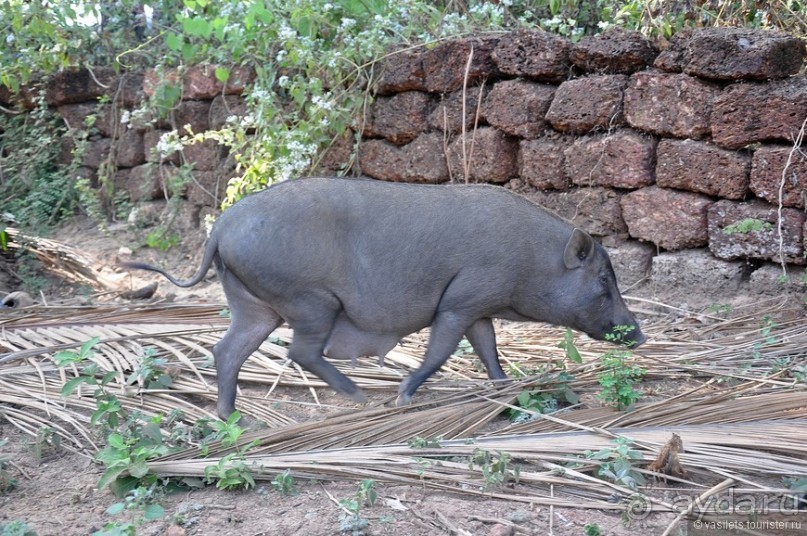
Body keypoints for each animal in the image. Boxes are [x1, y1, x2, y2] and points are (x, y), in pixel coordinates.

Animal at [123, 177, 648, 418]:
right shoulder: (460, 300)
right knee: (299, 351)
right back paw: (357, 395)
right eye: (605, 282)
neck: (531, 261)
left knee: (226, 349)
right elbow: (440, 352)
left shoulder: (478, 306)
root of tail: (220, 228)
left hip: (254, 303)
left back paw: (229, 417)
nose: (640, 335)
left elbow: (488, 348)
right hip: (310, 299)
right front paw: (403, 397)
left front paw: (505, 385)